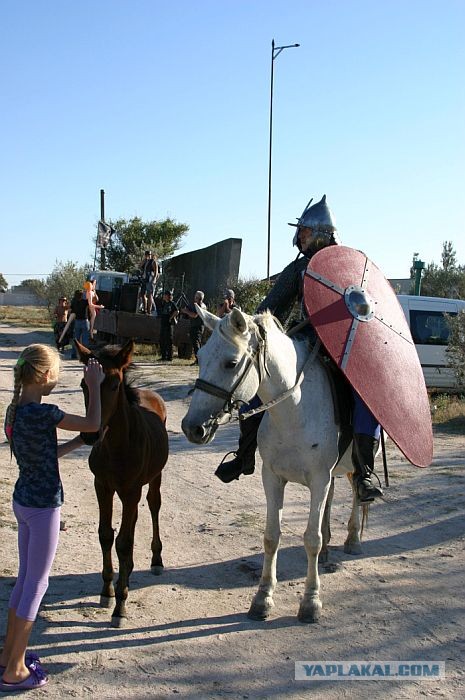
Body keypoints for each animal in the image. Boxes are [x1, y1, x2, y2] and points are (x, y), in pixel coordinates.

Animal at [180, 308, 366, 624]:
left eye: (231, 363)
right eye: (201, 357)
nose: (192, 427)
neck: (295, 409)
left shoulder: (318, 478)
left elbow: (311, 539)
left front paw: (311, 602)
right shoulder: (273, 477)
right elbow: (271, 537)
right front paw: (262, 598)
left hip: (352, 463)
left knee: (356, 490)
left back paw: (353, 537)